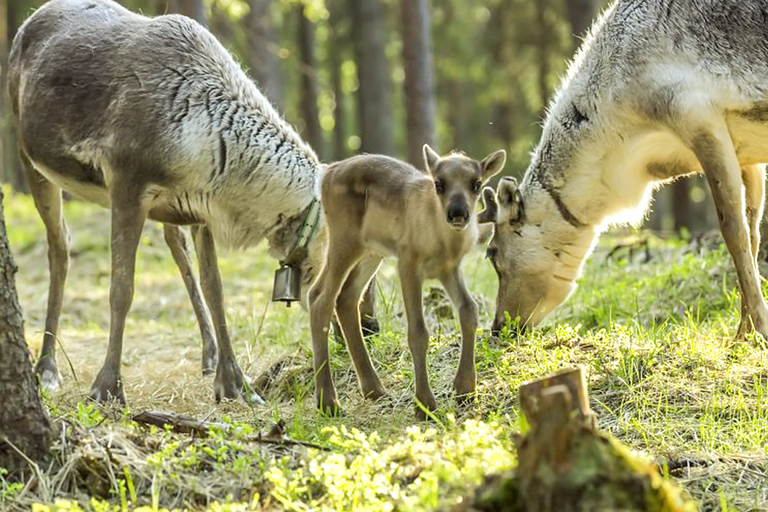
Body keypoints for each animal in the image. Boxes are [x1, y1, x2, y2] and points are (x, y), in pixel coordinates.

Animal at [308, 144, 508, 416]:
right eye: (439, 183)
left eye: (477, 183)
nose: (457, 213)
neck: (442, 241)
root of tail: (326, 173)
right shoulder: (408, 263)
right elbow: (418, 332)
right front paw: (424, 404)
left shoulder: (448, 268)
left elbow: (469, 310)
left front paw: (465, 390)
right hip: (344, 239)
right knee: (320, 297)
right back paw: (329, 402)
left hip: (372, 250)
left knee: (347, 298)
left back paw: (375, 390)